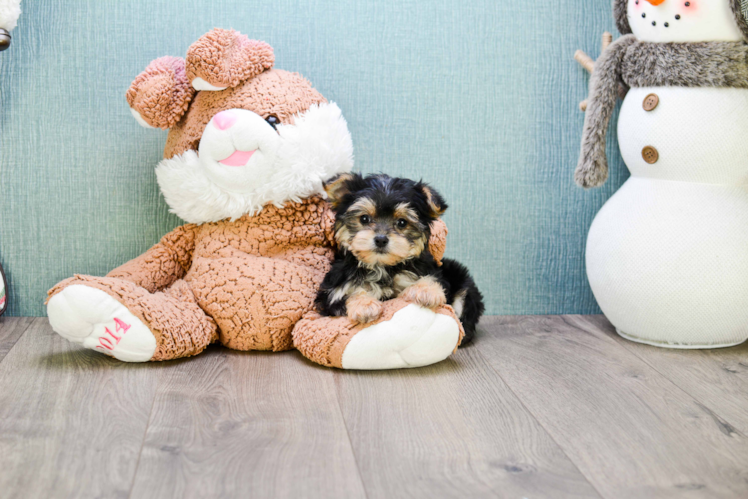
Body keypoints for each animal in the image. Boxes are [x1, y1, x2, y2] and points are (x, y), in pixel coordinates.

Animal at [316, 173, 486, 344]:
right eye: (364, 219)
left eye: (402, 222)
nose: (381, 239)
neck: (382, 266)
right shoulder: (332, 292)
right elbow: (349, 293)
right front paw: (365, 305)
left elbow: (430, 278)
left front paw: (426, 290)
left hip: (461, 280)